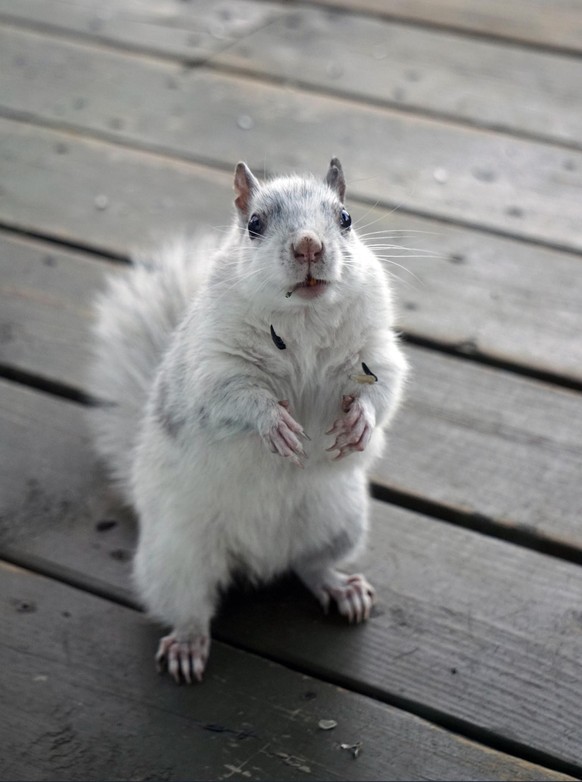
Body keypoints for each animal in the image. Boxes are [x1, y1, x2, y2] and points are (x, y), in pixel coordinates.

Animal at [90, 161, 410, 688]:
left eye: (345, 218)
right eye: (254, 224)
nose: (308, 245)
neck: (303, 319)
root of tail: (262, 557)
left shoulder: (376, 351)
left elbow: (384, 388)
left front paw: (359, 423)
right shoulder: (212, 364)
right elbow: (232, 395)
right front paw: (274, 424)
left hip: (341, 523)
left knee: (309, 565)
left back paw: (339, 587)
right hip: (176, 555)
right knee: (190, 604)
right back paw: (187, 643)